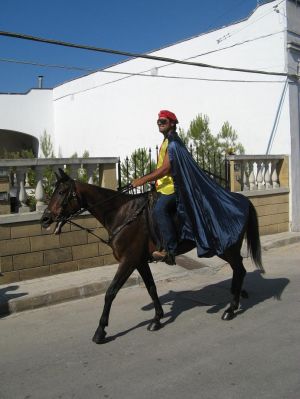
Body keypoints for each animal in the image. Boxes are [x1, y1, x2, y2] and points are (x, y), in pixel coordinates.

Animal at [41, 168, 264, 344]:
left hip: (227, 248)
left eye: (61, 192)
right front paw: (157, 319)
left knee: (239, 269)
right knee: (239, 270)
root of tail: (241, 199)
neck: (122, 213)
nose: (44, 219)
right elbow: (151, 288)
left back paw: (231, 309)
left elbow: (111, 292)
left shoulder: (128, 261)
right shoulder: (139, 261)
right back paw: (236, 299)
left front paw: (100, 330)